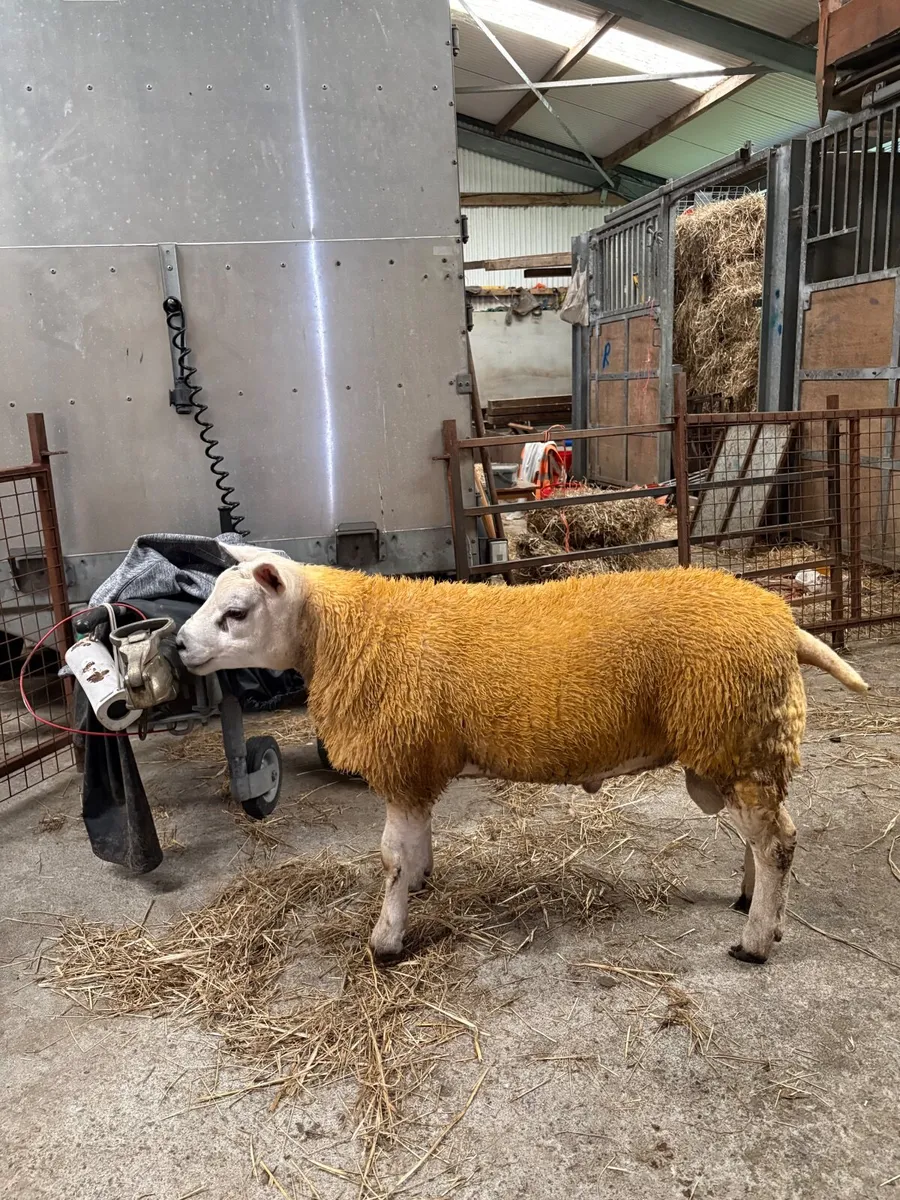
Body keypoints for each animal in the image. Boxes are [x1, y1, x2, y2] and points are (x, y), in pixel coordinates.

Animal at [176, 549, 868, 967]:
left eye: (236, 613)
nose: (178, 644)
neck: (343, 633)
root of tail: (782, 622)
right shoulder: (417, 762)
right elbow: (415, 846)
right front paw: (420, 885)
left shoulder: (402, 757)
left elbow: (391, 857)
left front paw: (386, 939)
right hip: (740, 742)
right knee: (763, 837)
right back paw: (754, 909)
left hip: (738, 734)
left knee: (777, 842)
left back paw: (755, 941)